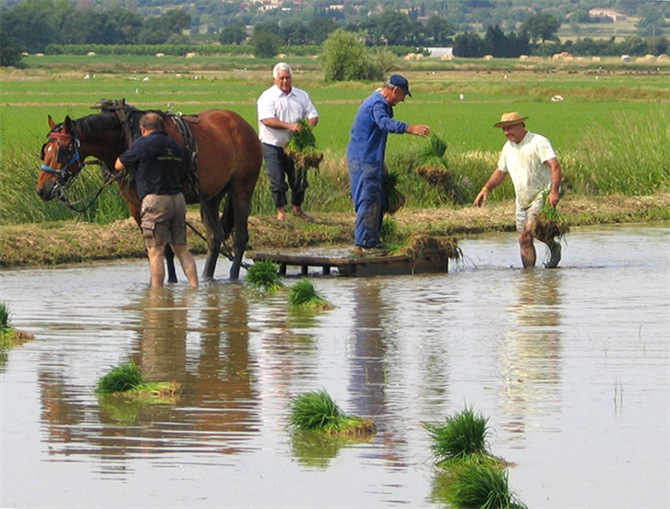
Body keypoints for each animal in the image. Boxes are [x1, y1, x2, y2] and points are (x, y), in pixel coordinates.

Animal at [36, 99, 262, 280]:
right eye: (45, 150)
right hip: (211, 196)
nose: (42, 189)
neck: (125, 137)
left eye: (62, 151)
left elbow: (165, 247)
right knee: (215, 238)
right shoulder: (136, 205)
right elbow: (161, 249)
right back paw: (207, 277)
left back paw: (233, 276)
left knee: (240, 237)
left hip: (242, 189)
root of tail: (244, 126)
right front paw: (169, 282)